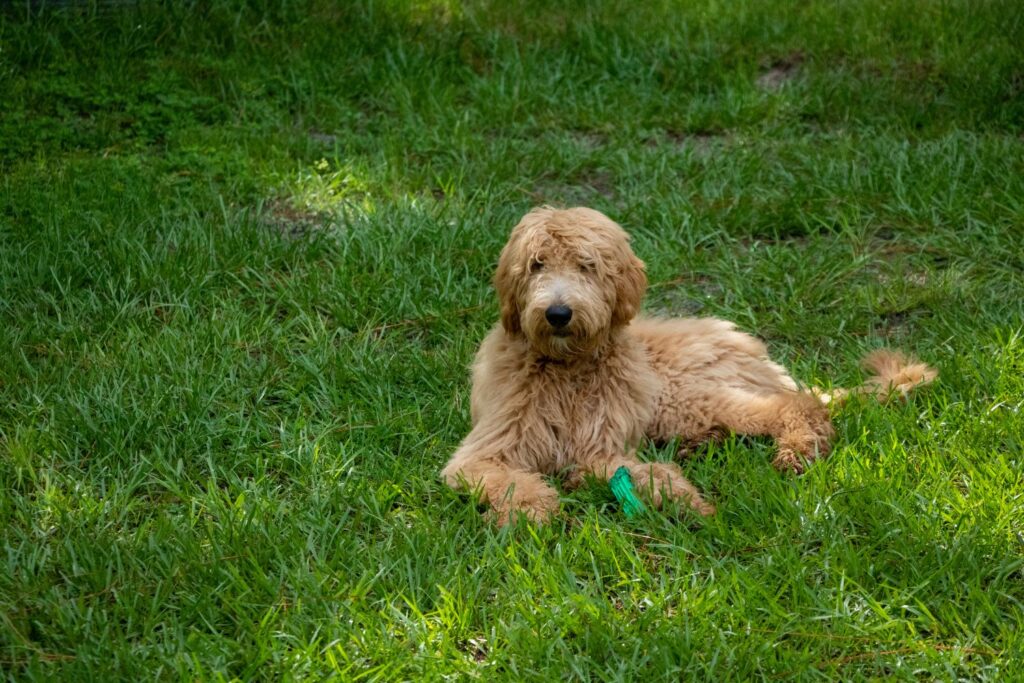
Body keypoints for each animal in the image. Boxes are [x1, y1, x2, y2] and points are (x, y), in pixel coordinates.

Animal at [440, 205, 937, 528]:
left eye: (587, 266)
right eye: (536, 264)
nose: (558, 313)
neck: (565, 369)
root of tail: (746, 345)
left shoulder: (603, 444)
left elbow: (641, 473)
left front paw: (686, 503)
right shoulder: (485, 452)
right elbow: (511, 480)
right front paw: (533, 510)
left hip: (682, 396)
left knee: (796, 408)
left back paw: (794, 451)